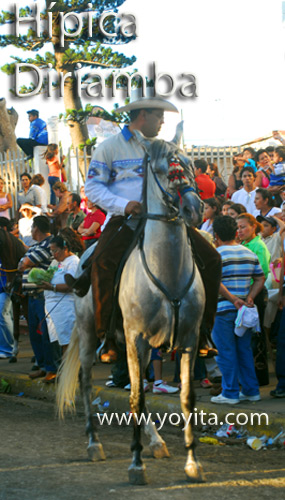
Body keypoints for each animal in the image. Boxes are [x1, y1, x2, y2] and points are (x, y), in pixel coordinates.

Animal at [56, 128, 205, 484]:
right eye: (165, 170)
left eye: (192, 165)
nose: (195, 209)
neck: (168, 270)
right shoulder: (136, 338)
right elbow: (136, 397)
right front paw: (136, 465)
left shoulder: (189, 339)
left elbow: (185, 397)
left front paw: (192, 463)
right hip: (90, 334)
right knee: (86, 381)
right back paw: (94, 443)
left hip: (139, 345)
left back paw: (156, 441)